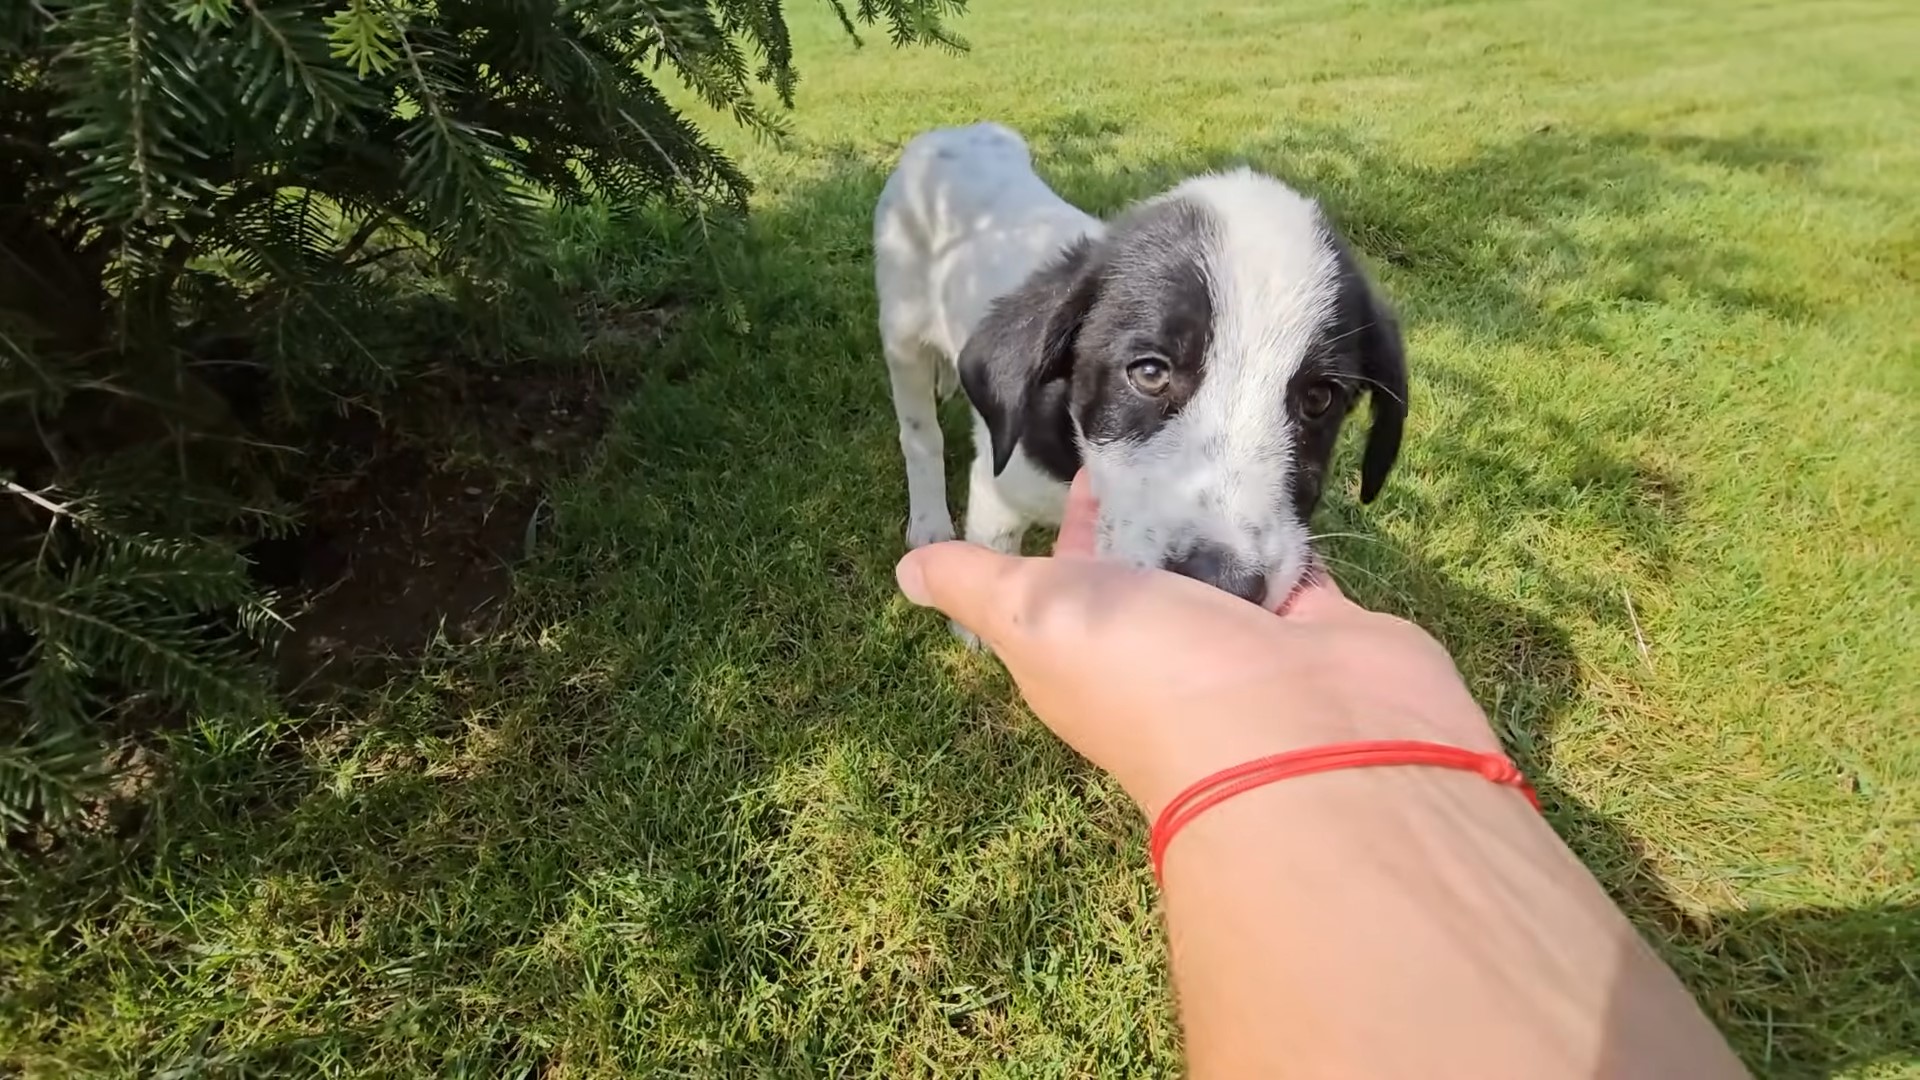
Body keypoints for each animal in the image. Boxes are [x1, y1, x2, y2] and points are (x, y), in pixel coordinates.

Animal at [879, 122, 1405, 611]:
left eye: (1318, 399)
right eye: (1149, 373)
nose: (1221, 582)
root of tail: (961, 133)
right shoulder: (998, 492)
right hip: (901, 331)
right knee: (919, 433)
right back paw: (928, 520)